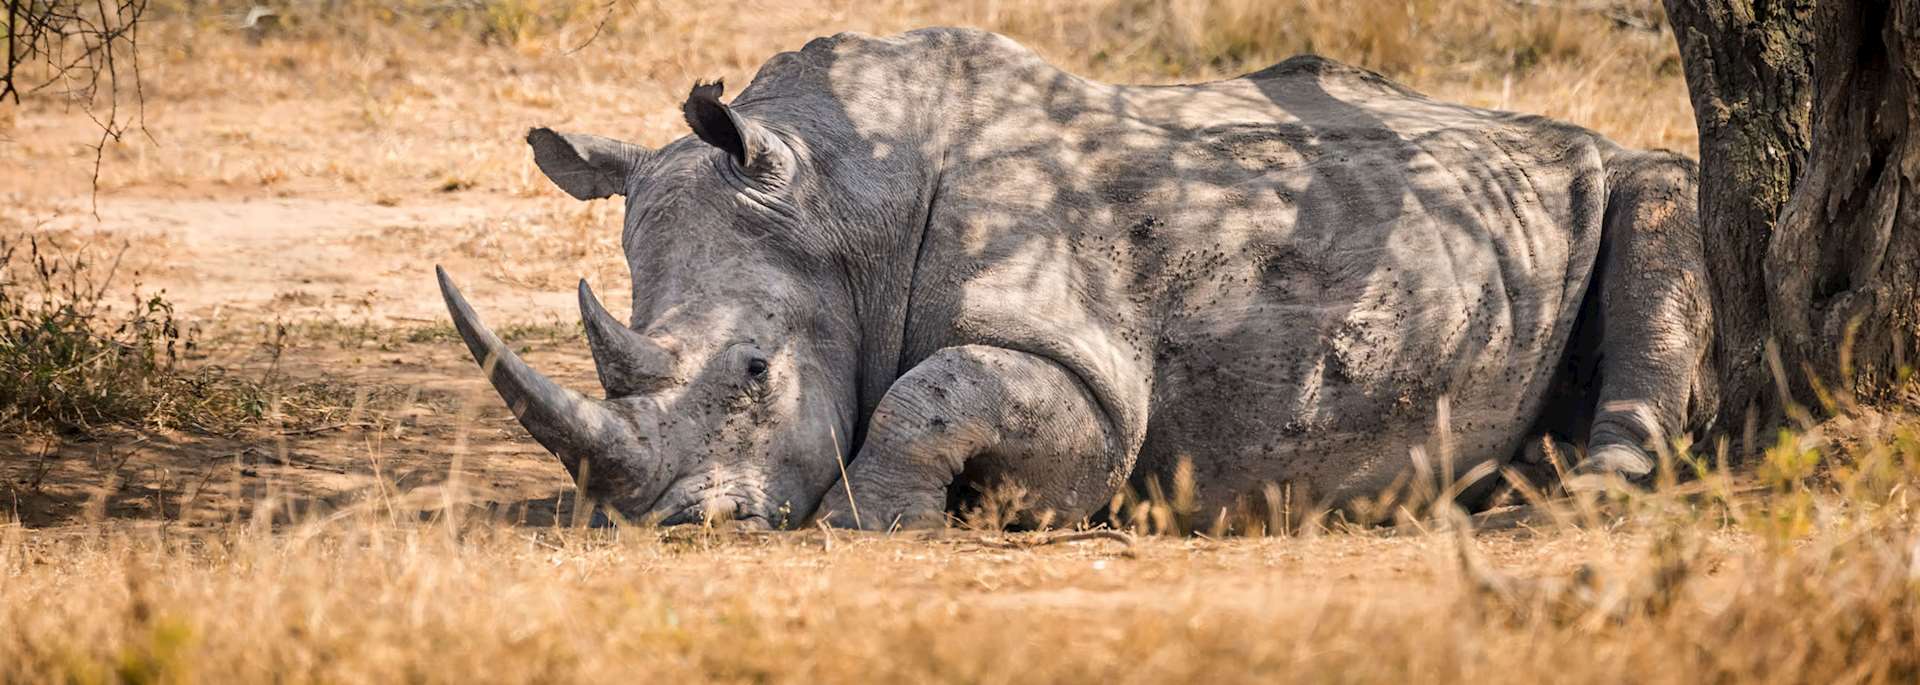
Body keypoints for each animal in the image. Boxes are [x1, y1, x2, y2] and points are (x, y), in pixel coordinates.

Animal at [436, 28, 1713, 530]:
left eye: (753, 371)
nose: (674, 523)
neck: (844, 202)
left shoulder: (1089, 372)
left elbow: (935, 396)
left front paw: (872, 520)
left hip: (1613, 169)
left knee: (1660, 197)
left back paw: (1582, 495)